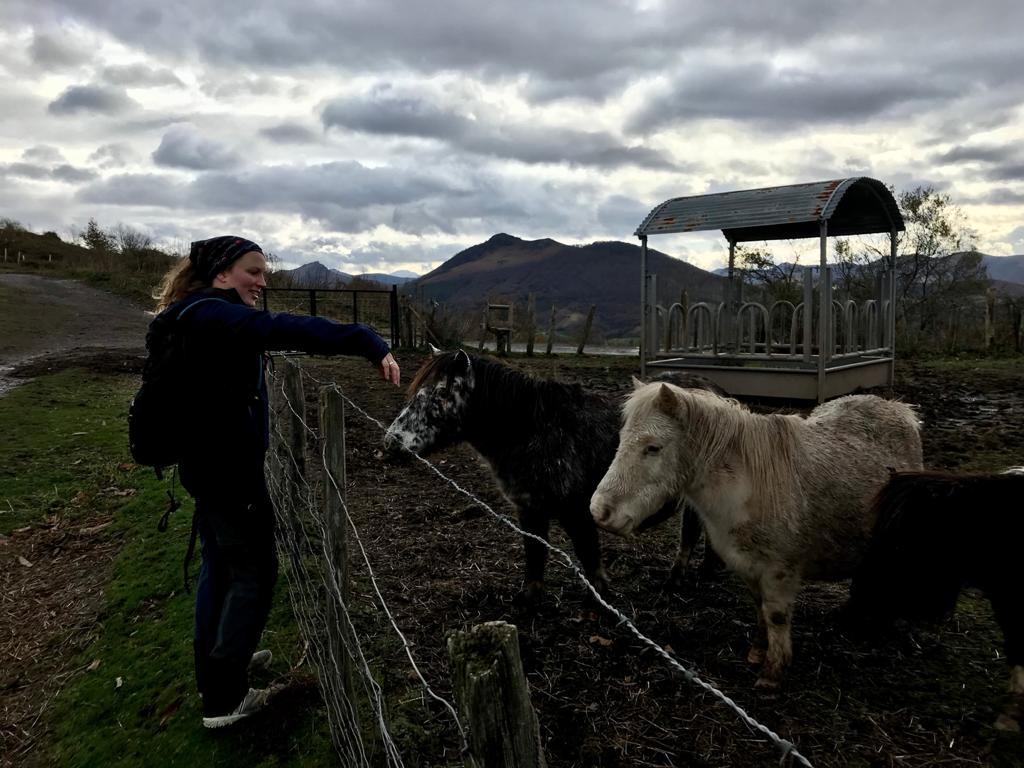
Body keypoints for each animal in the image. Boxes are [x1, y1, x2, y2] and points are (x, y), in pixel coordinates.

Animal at [385, 352, 729, 606]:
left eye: (442, 393)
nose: (391, 442)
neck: (533, 428)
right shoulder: (529, 509)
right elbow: (534, 553)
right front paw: (529, 600)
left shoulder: (578, 511)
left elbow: (589, 558)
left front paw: (600, 603)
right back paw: (708, 569)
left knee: (691, 531)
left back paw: (677, 578)